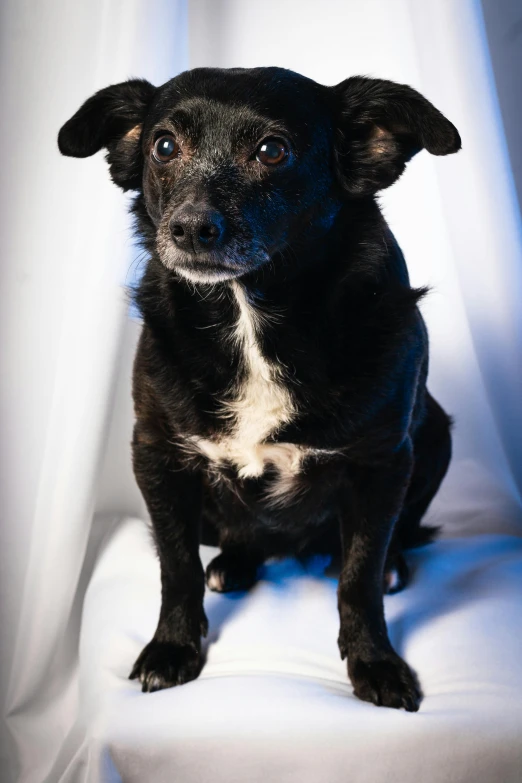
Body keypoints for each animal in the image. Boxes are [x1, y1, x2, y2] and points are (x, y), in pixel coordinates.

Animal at [59, 70, 458, 712]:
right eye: (163, 146)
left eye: (273, 150)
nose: (190, 228)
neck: (250, 316)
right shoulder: (157, 457)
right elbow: (176, 567)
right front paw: (172, 648)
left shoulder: (381, 463)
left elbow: (360, 575)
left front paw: (374, 661)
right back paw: (234, 564)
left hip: (436, 433)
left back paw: (394, 565)